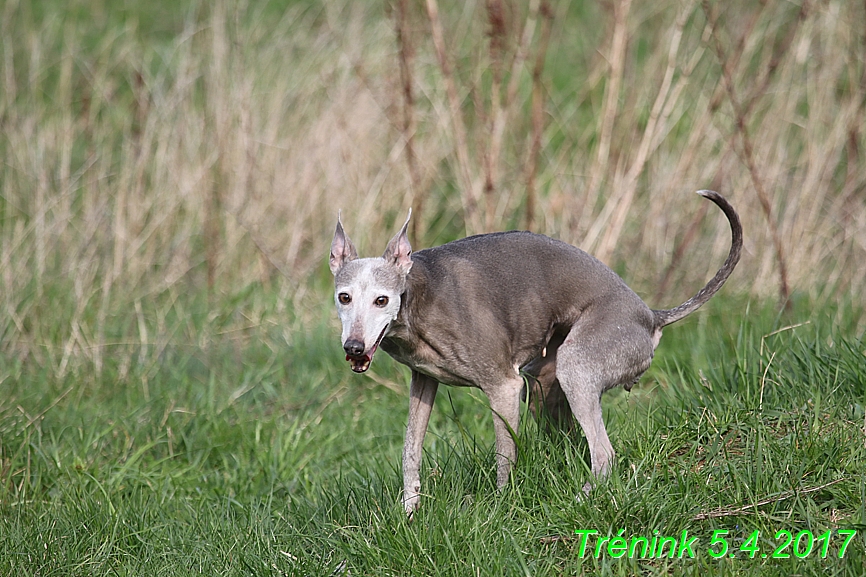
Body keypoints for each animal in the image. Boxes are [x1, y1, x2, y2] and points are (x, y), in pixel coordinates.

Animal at [328, 190, 740, 512]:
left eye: (382, 300)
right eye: (344, 297)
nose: (354, 347)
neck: (417, 296)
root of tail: (650, 315)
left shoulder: (504, 386)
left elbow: (504, 455)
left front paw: (499, 509)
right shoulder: (423, 382)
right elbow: (410, 450)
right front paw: (409, 513)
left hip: (578, 362)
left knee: (604, 453)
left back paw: (580, 499)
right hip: (545, 382)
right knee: (574, 440)